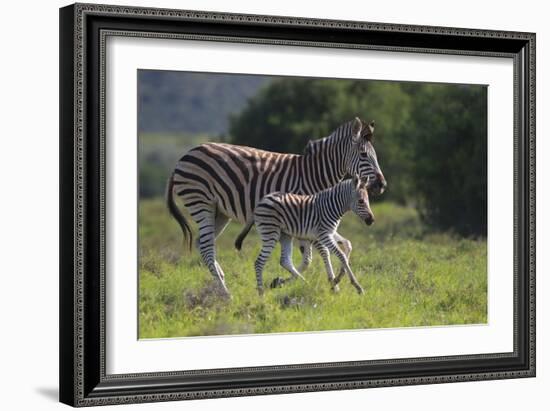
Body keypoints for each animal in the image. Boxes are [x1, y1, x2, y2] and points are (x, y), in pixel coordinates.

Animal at [242, 175, 376, 294]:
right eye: (361, 201)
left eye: (368, 201)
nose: (372, 220)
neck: (332, 207)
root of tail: (262, 200)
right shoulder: (324, 234)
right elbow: (341, 255)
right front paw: (357, 286)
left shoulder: (330, 232)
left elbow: (348, 244)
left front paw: (337, 278)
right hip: (270, 232)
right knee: (259, 262)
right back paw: (261, 294)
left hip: (285, 235)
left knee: (285, 260)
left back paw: (304, 284)